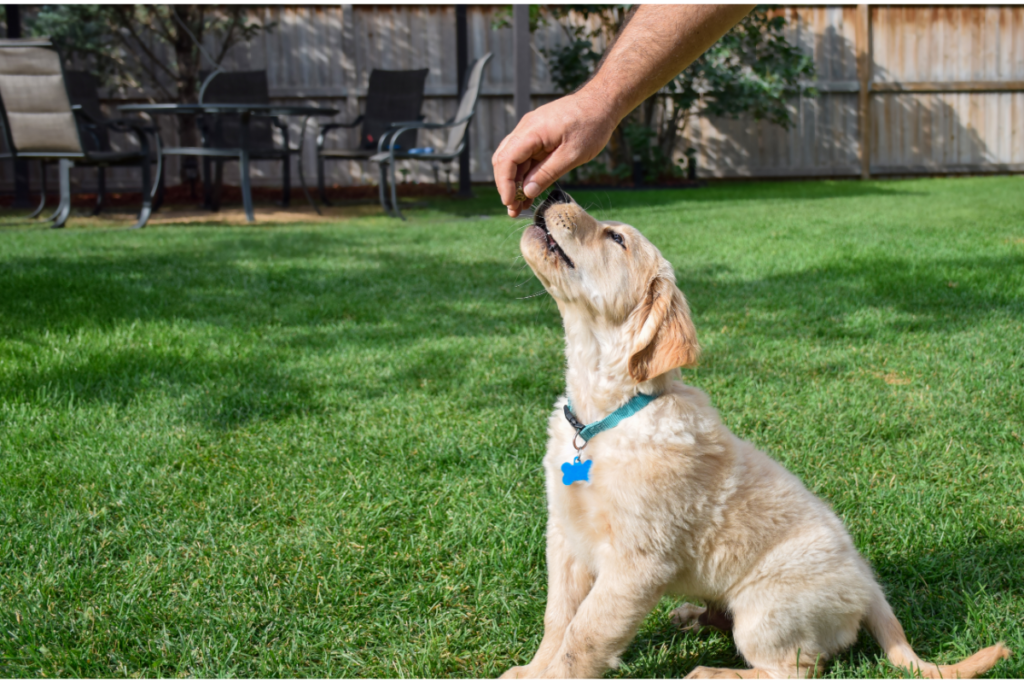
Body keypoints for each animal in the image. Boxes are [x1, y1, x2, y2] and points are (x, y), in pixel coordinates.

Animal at [503, 191, 1007, 679]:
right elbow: (559, 618)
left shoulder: (638, 561)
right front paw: (532, 669)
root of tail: (871, 589)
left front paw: (550, 676)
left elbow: (585, 635)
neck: (605, 415)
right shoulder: (565, 536)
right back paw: (691, 616)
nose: (555, 192)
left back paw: (710, 672)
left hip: (764, 610)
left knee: (796, 669)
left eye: (616, 238)